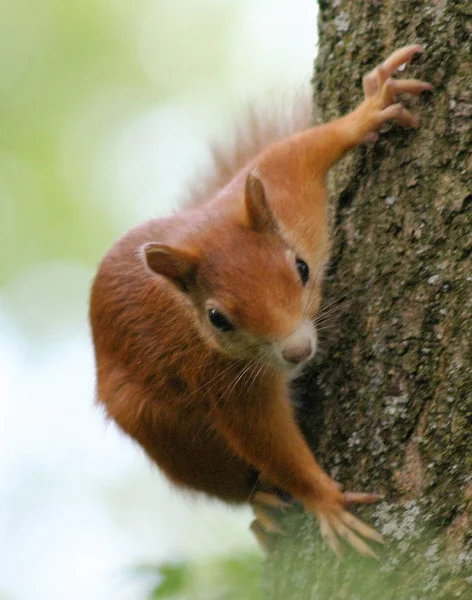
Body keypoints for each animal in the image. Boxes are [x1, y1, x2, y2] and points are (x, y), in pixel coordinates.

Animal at [89, 44, 432, 556]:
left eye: (302, 268)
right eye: (217, 319)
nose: (297, 351)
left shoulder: (282, 186)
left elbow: (302, 149)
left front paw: (369, 108)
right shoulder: (221, 379)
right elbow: (267, 441)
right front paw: (326, 501)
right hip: (163, 432)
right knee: (233, 483)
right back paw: (262, 509)